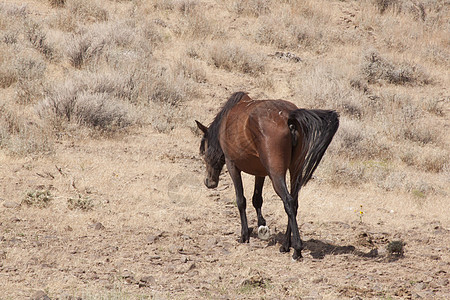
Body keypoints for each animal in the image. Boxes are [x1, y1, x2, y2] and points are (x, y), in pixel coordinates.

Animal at [195, 92, 340, 260]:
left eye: (203, 152)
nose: (209, 182)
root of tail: (289, 117)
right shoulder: (260, 172)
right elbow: (257, 199)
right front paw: (261, 225)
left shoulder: (232, 166)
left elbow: (241, 200)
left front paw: (244, 235)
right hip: (295, 170)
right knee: (294, 202)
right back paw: (285, 245)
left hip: (276, 174)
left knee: (288, 201)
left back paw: (297, 249)